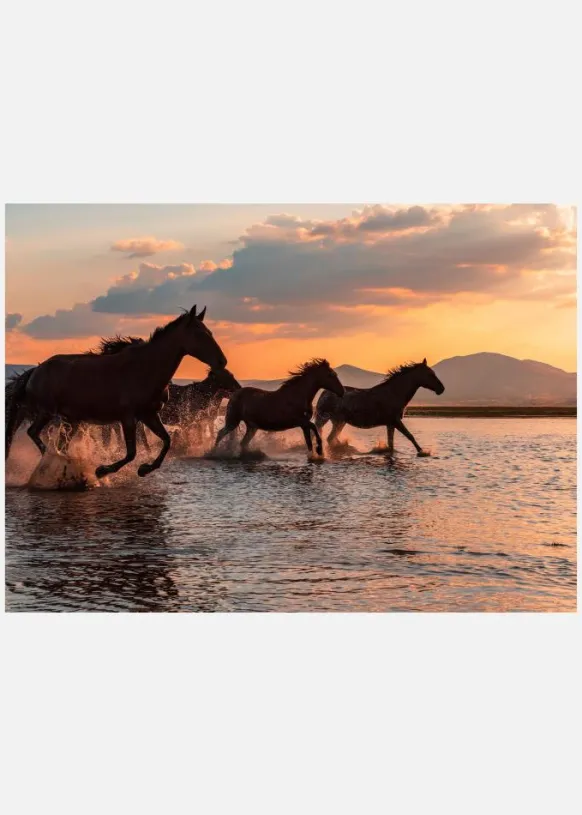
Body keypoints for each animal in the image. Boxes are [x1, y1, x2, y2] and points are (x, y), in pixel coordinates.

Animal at [5, 305, 227, 478]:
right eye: (199, 333)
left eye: (210, 332)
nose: (222, 361)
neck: (145, 368)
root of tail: (35, 371)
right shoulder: (127, 417)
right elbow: (131, 452)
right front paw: (102, 470)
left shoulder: (148, 414)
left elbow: (166, 441)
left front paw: (145, 469)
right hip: (47, 412)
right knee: (33, 433)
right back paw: (55, 461)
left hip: (70, 420)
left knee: (59, 443)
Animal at [212, 358, 345, 457]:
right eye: (330, 375)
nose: (342, 392)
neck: (298, 395)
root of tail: (234, 394)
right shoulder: (300, 421)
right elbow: (314, 428)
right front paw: (320, 450)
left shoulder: (304, 425)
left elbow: (309, 442)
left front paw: (315, 454)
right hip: (232, 421)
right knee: (220, 434)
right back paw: (213, 452)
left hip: (252, 427)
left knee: (243, 443)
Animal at [314, 359, 444, 456]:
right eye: (430, 374)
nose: (441, 389)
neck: (394, 393)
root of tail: (324, 393)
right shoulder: (396, 421)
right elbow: (410, 436)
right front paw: (423, 452)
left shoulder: (390, 424)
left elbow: (391, 444)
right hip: (330, 420)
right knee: (329, 438)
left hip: (338, 422)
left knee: (331, 438)